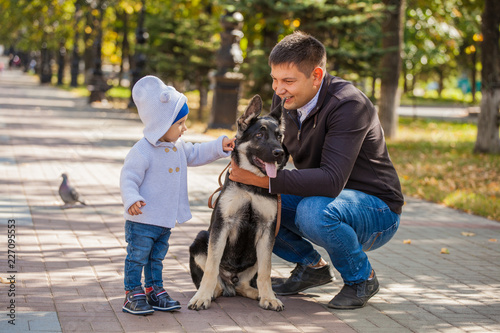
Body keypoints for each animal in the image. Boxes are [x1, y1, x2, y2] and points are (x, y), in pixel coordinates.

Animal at [188, 94, 288, 310]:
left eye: (279, 136)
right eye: (259, 135)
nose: (280, 153)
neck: (251, 183)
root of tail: (230, 282)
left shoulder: (267, 231)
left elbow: (266, 271)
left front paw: (269, 297)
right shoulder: (222, 226)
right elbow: (211, 267)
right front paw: (202, 297)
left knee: (244, 284)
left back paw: (258, 293)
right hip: (200, 239)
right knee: (216, 280)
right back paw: (210, 292)